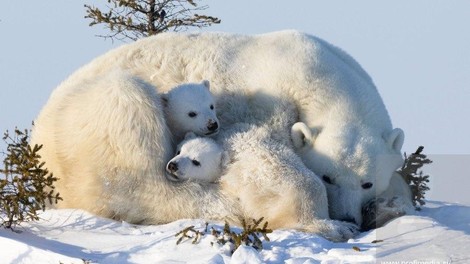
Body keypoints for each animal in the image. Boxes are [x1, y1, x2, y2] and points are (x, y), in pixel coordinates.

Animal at [31, 29, 410, 240]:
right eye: (328, 177)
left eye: (367, 182)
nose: (349, 218)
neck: (318, 77)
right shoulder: (260, 101)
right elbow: (259, 154)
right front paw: (327, 225)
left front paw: (389, 204)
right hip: (89, 118)